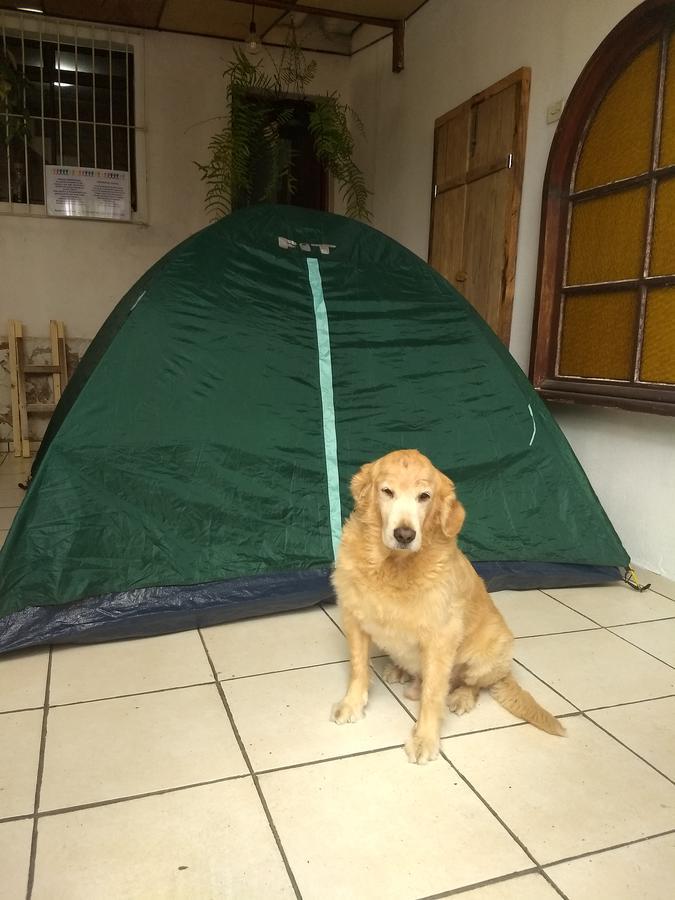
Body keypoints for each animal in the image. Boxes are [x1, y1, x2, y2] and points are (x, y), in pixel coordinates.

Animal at [330, 446, 564, 764]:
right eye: (387, 491)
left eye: (424, 496)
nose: (405, 535)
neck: (394, 566)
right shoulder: (354, 618)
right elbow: (357, 668)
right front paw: (352, 704)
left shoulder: (440, 638)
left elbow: (432, 694)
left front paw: (425, 739)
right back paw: (400, 670)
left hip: (490, 650)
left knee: (473, 683)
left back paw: (462, 696)